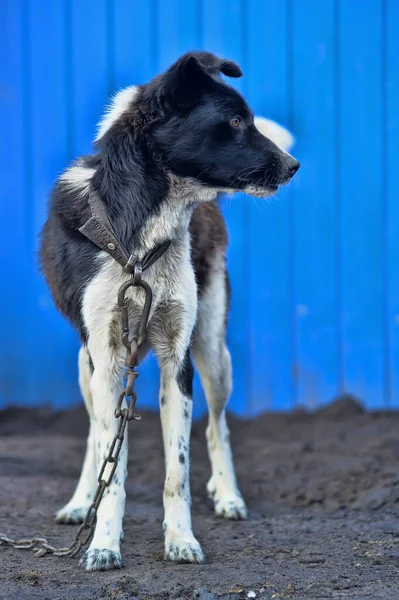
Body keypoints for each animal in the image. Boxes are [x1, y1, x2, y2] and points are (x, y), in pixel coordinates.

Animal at [39, 49, 300, 568]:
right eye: (235, 121)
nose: (293, 165)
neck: (138, 238)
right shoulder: (106, 359)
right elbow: (111, 467)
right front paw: (103, 544)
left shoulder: (176, 359)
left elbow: (176, 471)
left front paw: (181, 540)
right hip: (86, 366)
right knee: (94, 437)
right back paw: (80, 502)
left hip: (213, 352)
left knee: (218, 427)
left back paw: (228, 494)